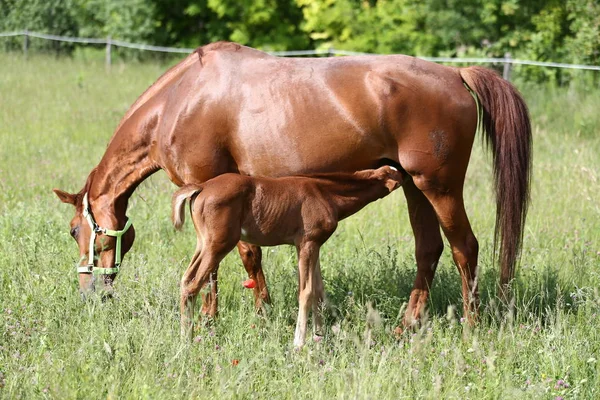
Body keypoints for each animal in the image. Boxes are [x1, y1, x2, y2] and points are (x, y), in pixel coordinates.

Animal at [170, 166, 404, 346]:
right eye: (396, 173)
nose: (408, 176)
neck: (325, 193)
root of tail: (201, 187)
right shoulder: (308, 243)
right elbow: (306, 291)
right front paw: (299, 342)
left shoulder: (312, 246)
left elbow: (318, 290)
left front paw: (319, 337)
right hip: (218, 245)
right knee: (192, 285)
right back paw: (187, 340)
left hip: (203, 244)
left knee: (185, 280)